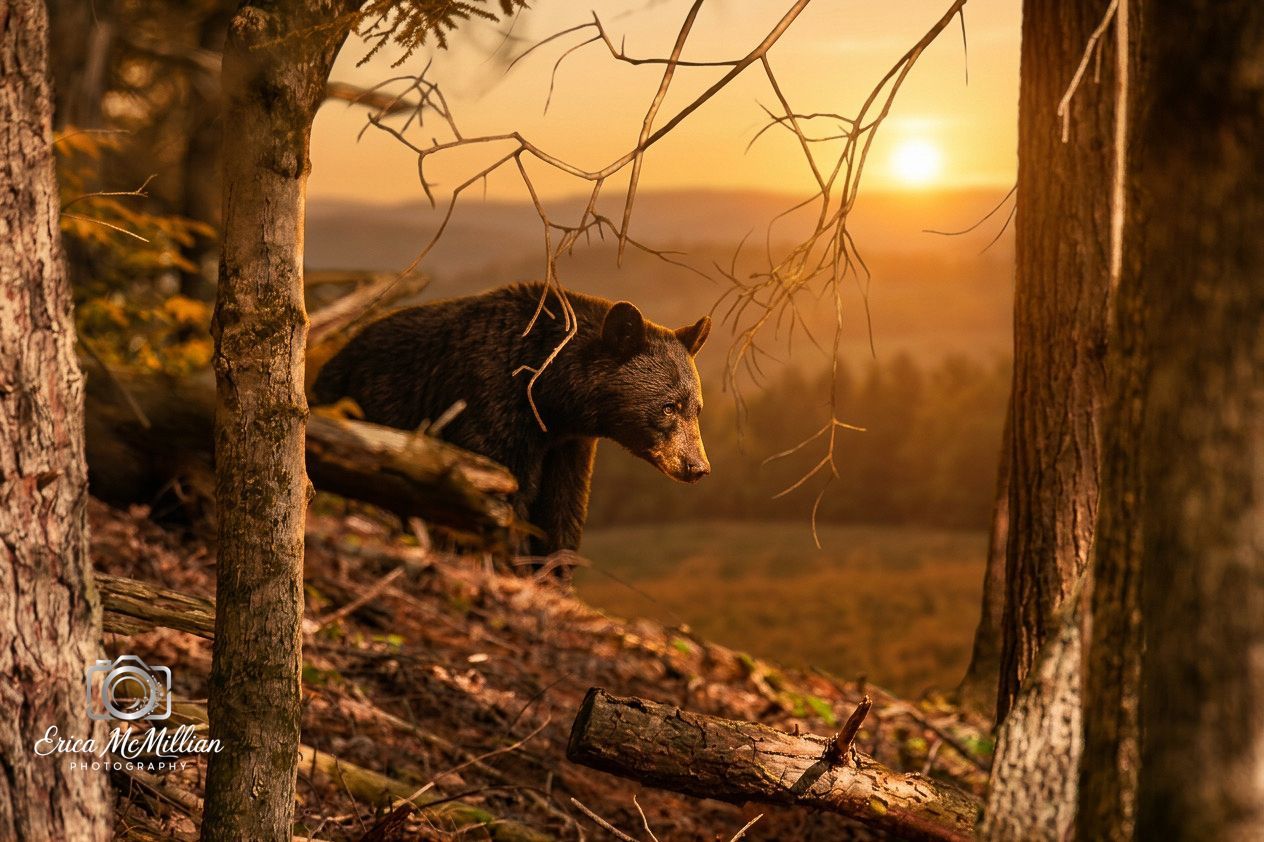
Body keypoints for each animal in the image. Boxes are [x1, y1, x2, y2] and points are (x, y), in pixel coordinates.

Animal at [312, 282, 712, 555]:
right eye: (669, 406)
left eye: (697, 408)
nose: (697, 467)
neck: (548, 397)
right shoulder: (491, 403)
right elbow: (502, 494)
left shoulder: (569, 443)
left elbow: (563, 506)